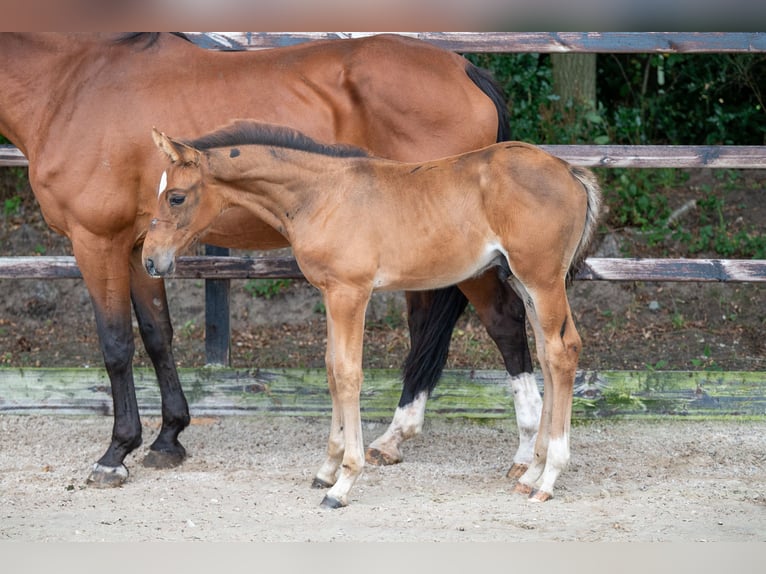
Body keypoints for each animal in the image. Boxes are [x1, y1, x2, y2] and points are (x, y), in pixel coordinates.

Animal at [0, 33, 540, 488]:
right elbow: (156, 336)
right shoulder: (139, 249)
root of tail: (465, 67)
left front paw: (115, 454)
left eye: (176, 196)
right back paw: (395, 438)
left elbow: (115, 345)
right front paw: (168, 437)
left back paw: (524, 451)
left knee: (505, 318)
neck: (69, 86)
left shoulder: (97, 241)